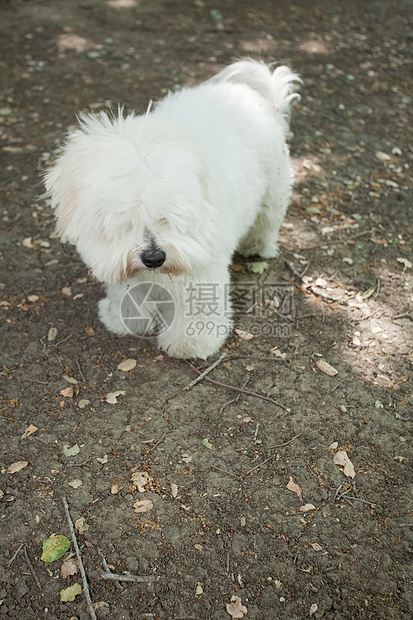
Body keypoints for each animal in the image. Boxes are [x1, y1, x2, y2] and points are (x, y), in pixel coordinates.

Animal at [45, 59, 300, 358]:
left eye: (168, 216)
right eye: (124, 220)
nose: (154, 257)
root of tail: (257, 96)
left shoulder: (202, 269)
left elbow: (197, 308)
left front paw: (191, 342)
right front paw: (126, 318)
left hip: (273, 195)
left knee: (266, 224)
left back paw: (258, 247)